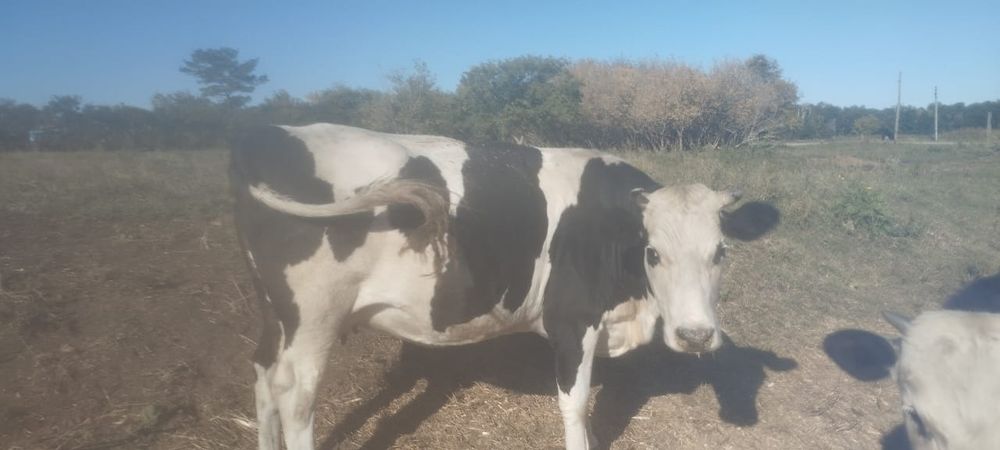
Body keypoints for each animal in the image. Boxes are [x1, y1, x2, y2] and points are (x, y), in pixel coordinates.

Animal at [229, 123, 779, 450]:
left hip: (276, 312)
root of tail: (268, 131)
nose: (695, 336)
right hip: (313, 317)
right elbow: (575, 404)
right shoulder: (571, 321)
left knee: (262, 371)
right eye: (653, 253)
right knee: (296, 394)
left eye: (721, 251)